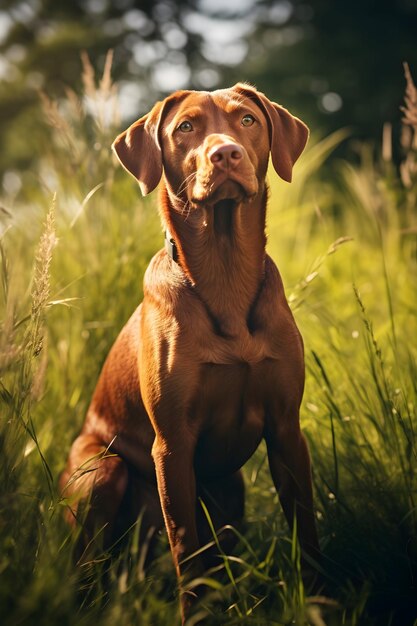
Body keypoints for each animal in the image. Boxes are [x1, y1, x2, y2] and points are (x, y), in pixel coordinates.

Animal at [59, 81, 318, 620]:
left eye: (246, 120)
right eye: (186, 127)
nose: (226, 153)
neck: (224, 274)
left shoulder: (287, 428)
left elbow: (306, 530)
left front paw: (324, 600)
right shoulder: (173, 443)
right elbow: (186, 548)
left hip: (232, 489)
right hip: (102, 472)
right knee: (93, 566)